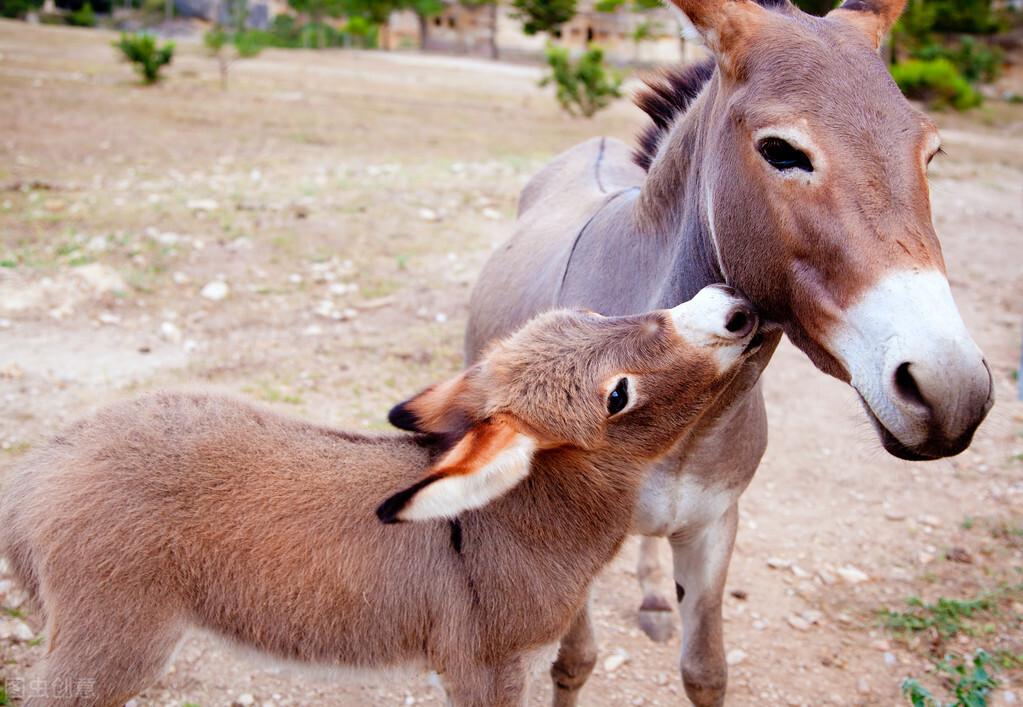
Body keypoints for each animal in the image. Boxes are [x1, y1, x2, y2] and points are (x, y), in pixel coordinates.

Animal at [1, 284, 769, 703]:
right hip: (110, 643)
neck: (507, 522)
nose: (731, 306)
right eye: (617, 396)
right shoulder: (485, 668)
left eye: (589, 309)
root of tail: (40, 469)